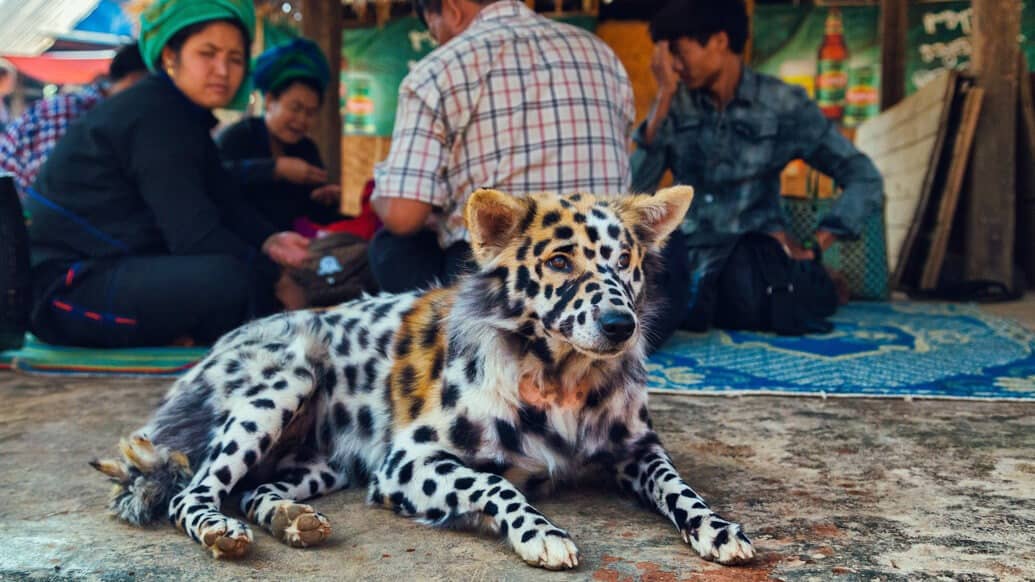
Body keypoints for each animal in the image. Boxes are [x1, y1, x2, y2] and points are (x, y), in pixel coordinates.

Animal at [93, 186, 753, 567]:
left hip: (323, 465)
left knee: (254, 491)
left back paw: (288, 518)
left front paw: (716, 527)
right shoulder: (404, 464)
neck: (561, 382)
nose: (621, 325)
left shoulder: (639, 450)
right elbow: (497, 484)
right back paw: (219, 528)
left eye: (623, 261)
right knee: (195, 493)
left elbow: (681, 489)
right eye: (561, 261)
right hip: (289, 382)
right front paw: (537, 532)